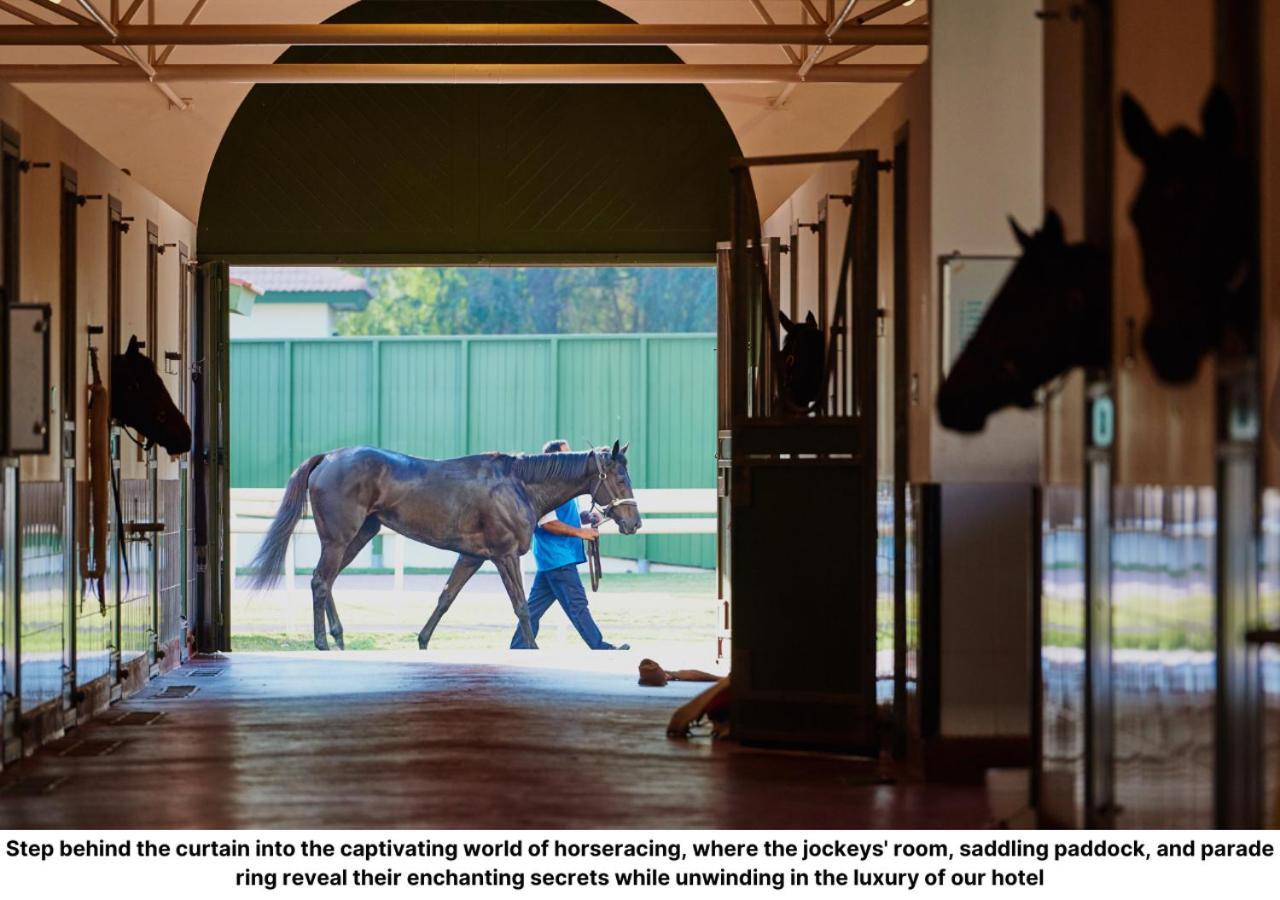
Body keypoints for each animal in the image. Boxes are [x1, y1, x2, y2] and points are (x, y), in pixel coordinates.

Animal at [245, 442, 645, 655]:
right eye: (620, 477)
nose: (634, 523)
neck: (517, 486)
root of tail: (328, 457)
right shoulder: (503, 554)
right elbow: (521, 608)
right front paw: (532, 650)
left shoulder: (471, 556)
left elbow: (446, 597)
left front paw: (422, 642)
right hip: (339, 538)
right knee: (319, 581)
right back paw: (323, 643)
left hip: (359, 536)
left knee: (327, 581)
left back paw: (340, 639)